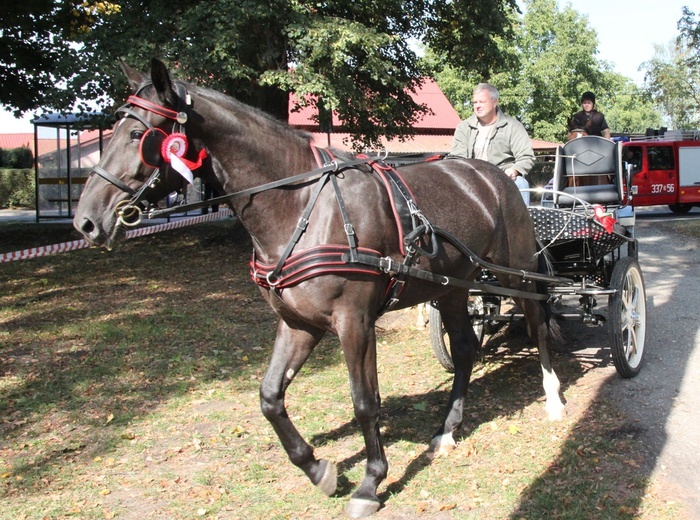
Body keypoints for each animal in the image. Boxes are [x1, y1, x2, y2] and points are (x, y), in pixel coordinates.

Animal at [72, 60, 564, 516]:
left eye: (139, 133)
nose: (86, 221)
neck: (303, 204)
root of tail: (493, 177)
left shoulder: (355, 322)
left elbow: (365, 402)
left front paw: (370, 483)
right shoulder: (297, 323)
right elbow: (270, 396)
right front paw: (318, 469)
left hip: (517, 271)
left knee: (537, 320)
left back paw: (553, 396)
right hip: (451, 289)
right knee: (464, 349)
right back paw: (447, 430)